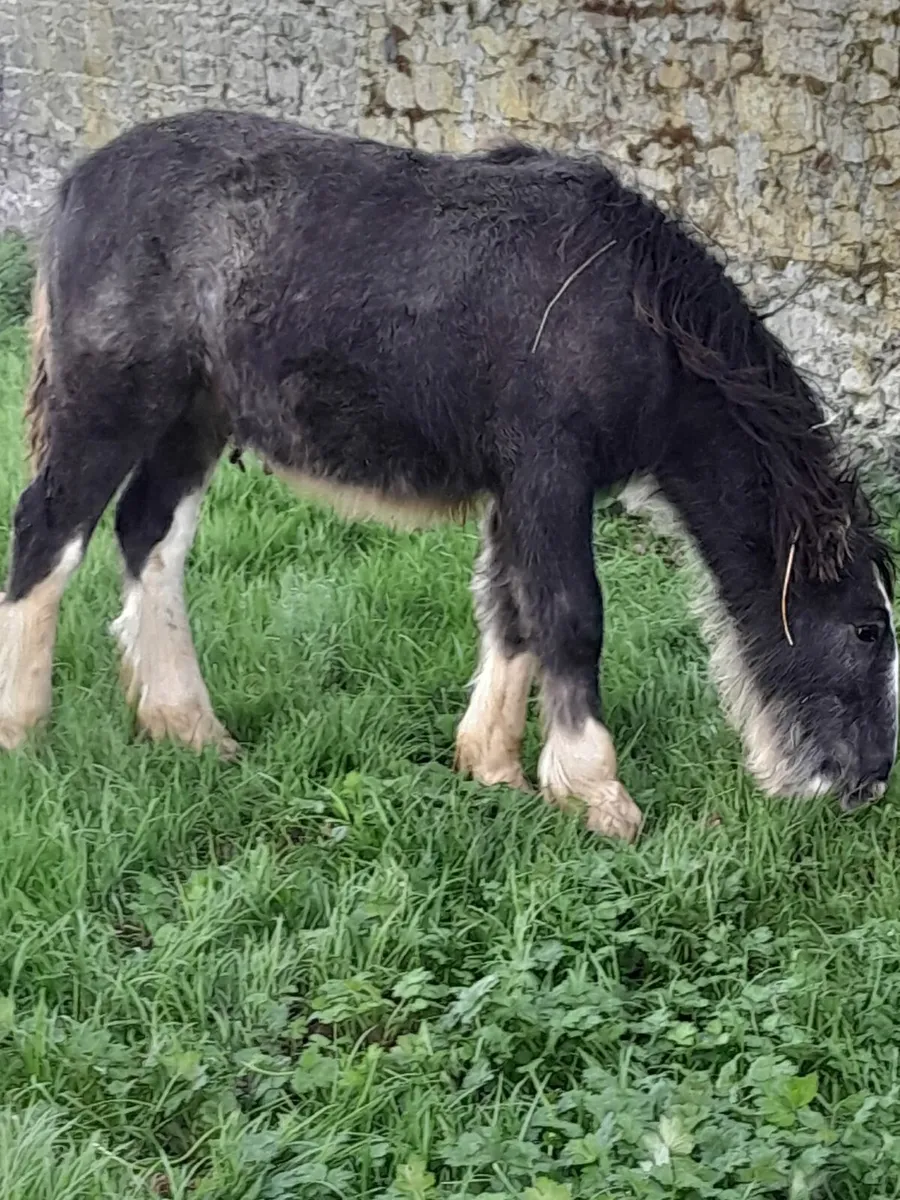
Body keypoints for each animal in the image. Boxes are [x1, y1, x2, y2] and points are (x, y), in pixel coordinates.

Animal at [1, 109, 895, 841]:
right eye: (867, 630)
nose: (871, 783)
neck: (636, 310)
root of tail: (78, 182)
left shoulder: (515, 486)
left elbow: (509, 611)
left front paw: (493, 768)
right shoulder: (549, 472)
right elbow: (570, 617)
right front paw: (596, 795)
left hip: (195, 418)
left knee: (149, 537)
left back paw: (187, 727)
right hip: (109, 405)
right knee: (48, 533)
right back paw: (23, 732)